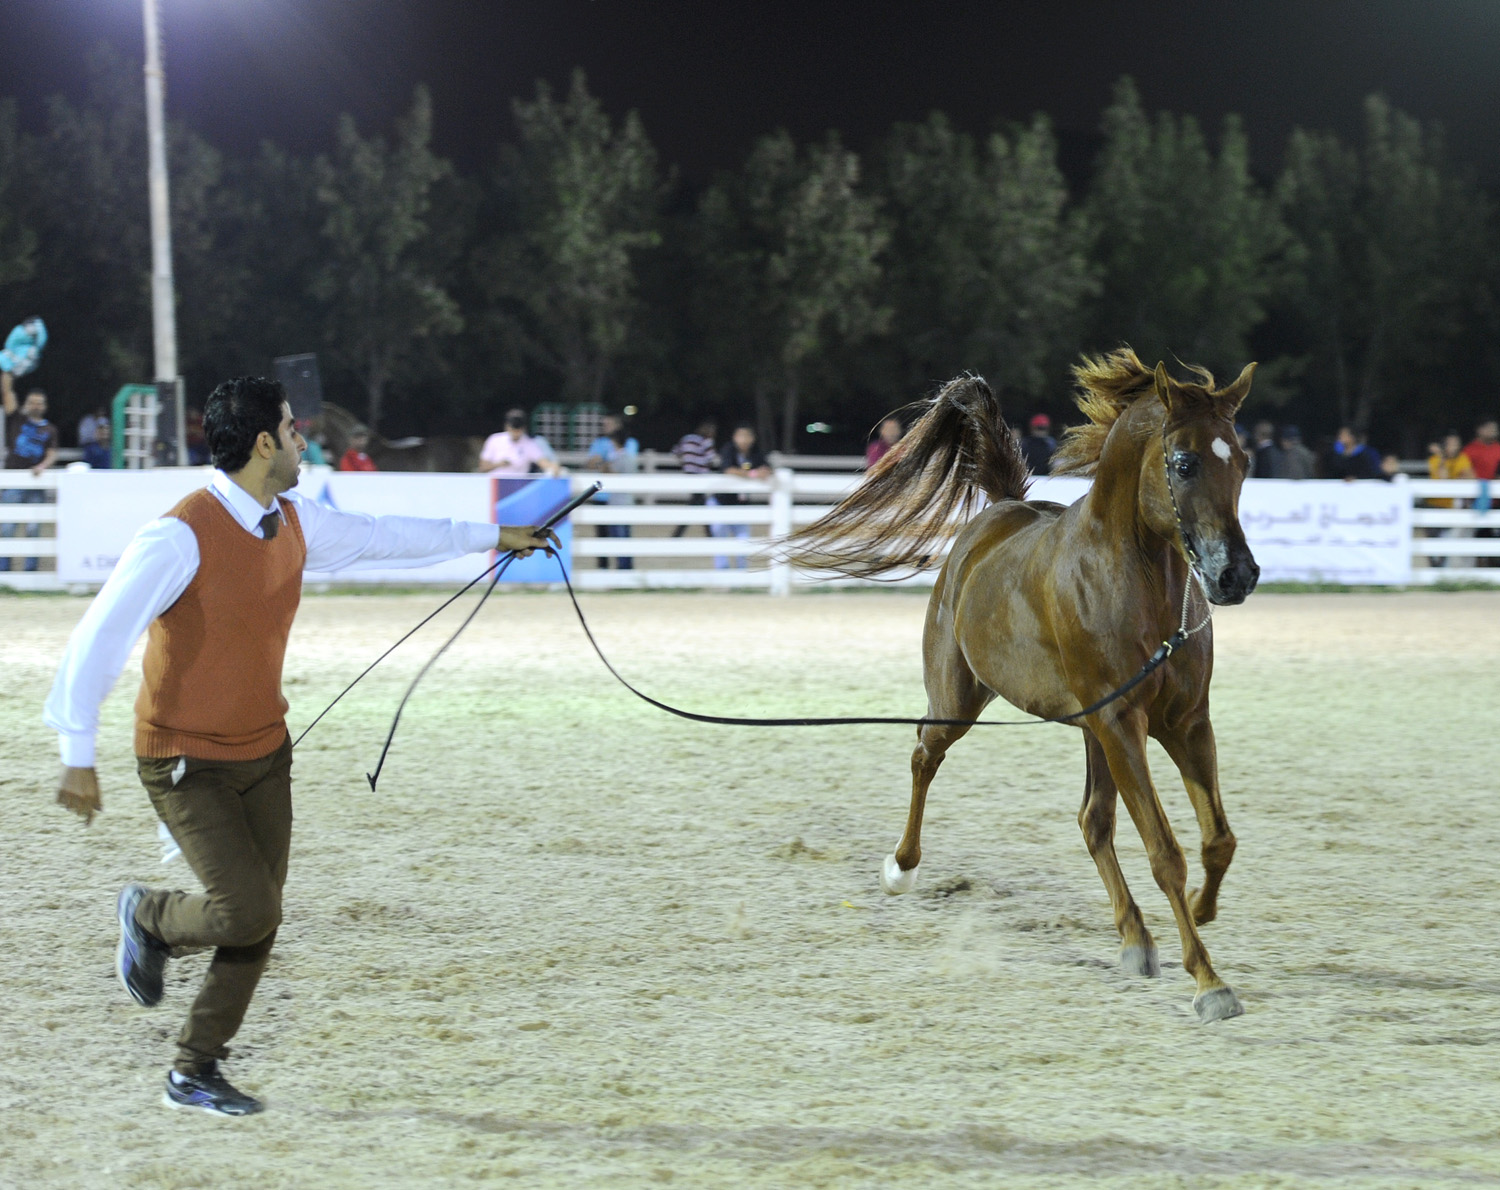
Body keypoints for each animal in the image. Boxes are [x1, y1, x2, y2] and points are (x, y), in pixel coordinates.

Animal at [792, 348, 1260, 1014]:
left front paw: (1199, 912)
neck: (1135, 581)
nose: (1235, 575)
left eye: (1242, 462)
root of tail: (995, 517)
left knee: (1093, 821)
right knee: (924, 755)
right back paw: (901, 867)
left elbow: (1217, 839)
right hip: (960, 700)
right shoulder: (1123, 723)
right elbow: (1165, 851)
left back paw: (1135, 939)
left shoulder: (1183, 722)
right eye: (1185, 462)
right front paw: (1209, 982)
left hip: (1091, 730)